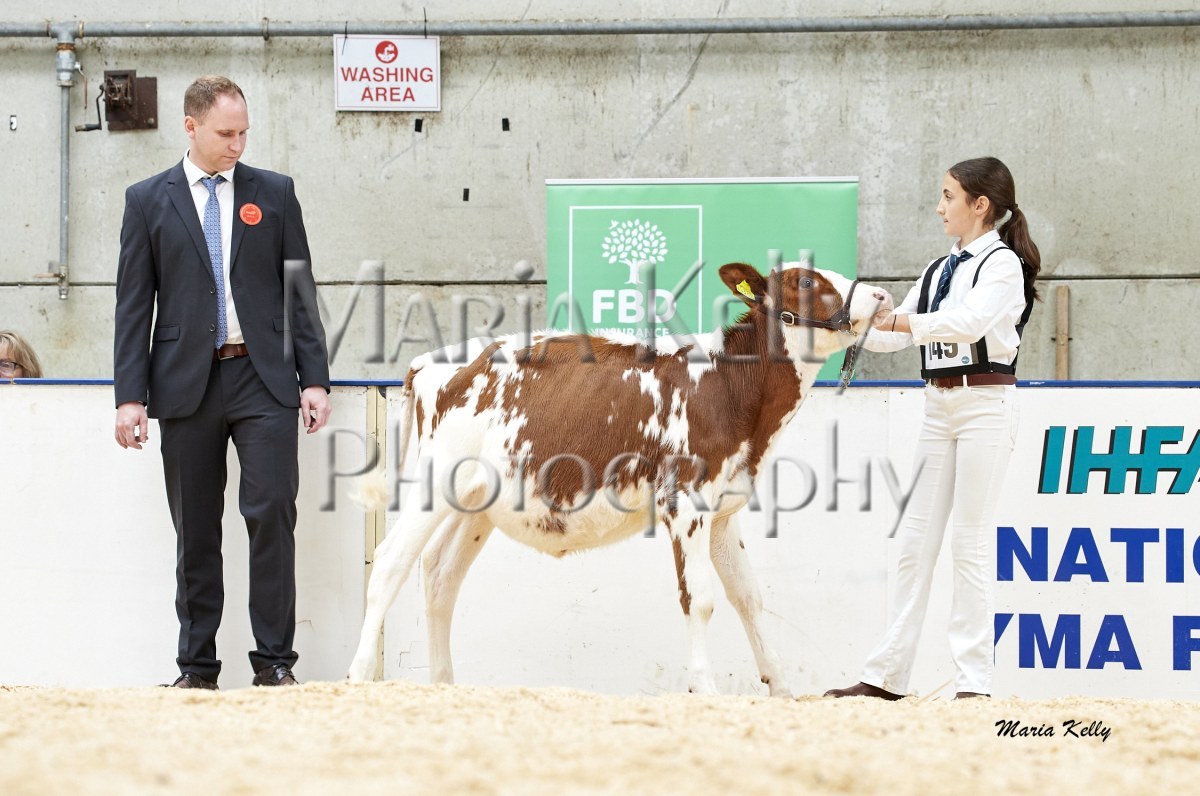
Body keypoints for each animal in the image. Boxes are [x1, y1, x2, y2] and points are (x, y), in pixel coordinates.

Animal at [346, 261, 892, 695]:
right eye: (807, 279)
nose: (882, 296)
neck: (728, 387)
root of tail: (429, 362)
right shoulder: (685, 500)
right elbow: (700, 598)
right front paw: (706, 688)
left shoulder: (724, 508)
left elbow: (748, 597)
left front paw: (781, 690)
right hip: (436, 478)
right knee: (391, 562)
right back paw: (357, 676)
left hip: (479, 500)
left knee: (441, 574)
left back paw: (443, 684)